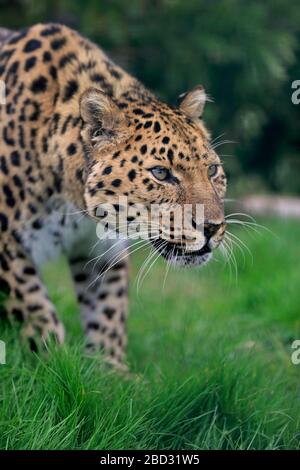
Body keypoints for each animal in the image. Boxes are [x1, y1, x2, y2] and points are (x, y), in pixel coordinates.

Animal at [0, 23, 226, 370]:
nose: (212, 228)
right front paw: (54, 363)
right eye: (161, 174)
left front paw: (109, 373)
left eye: (212, 170)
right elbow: (37, 312)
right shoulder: (7, 245)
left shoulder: (102, 250)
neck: (74, 205)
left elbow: (107, 313)